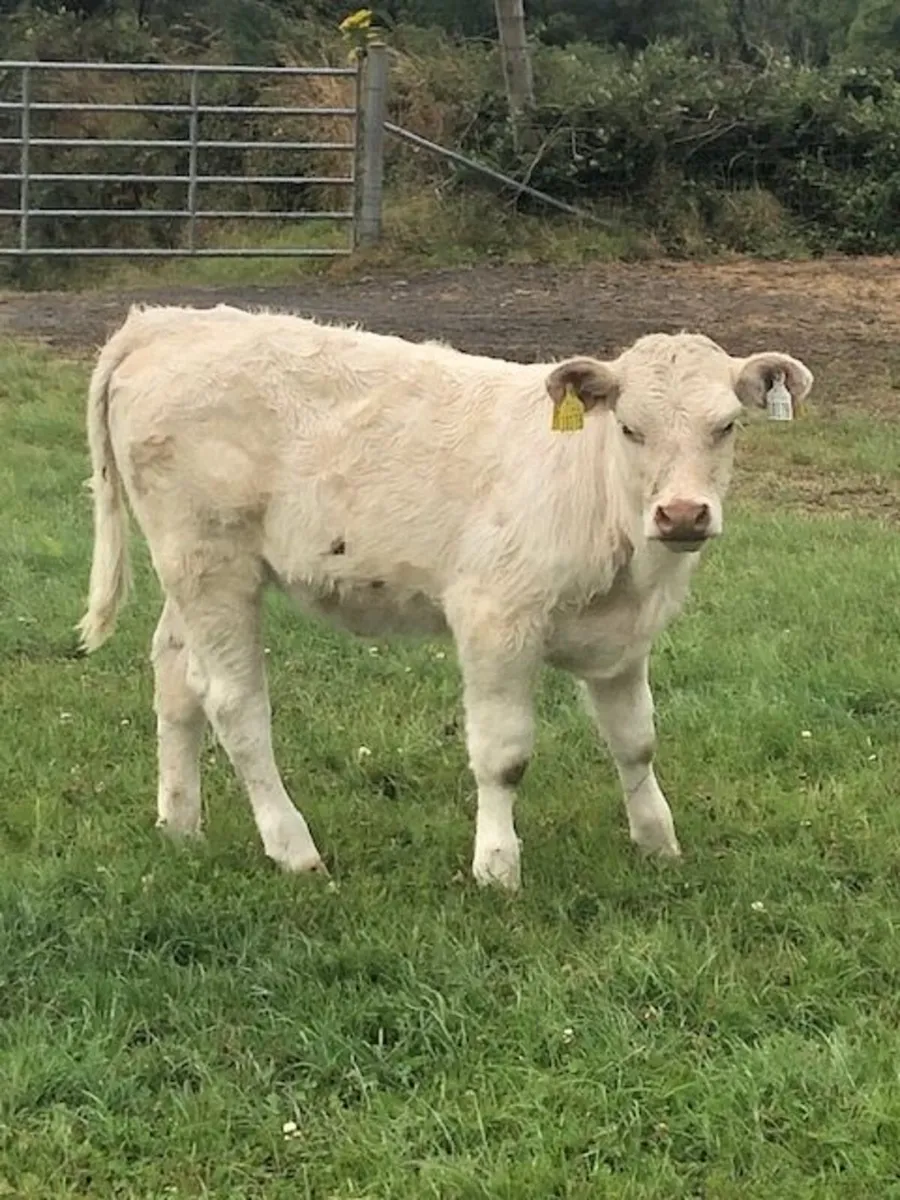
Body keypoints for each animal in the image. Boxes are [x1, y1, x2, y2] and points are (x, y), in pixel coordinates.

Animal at [77, 304, 813, 891]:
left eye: (727, 426)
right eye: (630, 428)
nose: (682, 514)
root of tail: (165, 321)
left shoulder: (623, 639)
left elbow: (635, 742)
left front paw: (657, 843)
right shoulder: (496, 619)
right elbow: (504, 755)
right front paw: (497, 867)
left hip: (193, 571)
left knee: (176, 675)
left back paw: (180, 824)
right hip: (211, 560)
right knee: (235, 703)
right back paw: (293, 848)